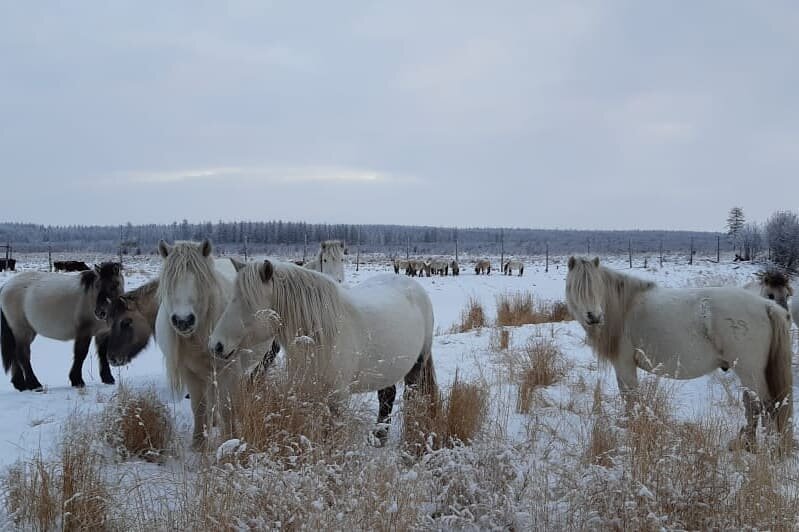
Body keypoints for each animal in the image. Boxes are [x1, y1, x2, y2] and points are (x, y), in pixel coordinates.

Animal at [0, 263, 124, 391]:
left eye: (115, 285)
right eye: (97, 285)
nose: (100, 312)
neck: (91, 297)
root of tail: (6, 286)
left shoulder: (103, 333)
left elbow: (103, 354)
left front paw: (108, 378)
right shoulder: (84, 332)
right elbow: (80, 354)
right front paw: (77, 380)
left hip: (26, 331)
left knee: (15, 354)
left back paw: (20, 384)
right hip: (22, 330)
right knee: (22, 355)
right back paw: (34, 384)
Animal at [155, 240, 263, 449]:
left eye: (200, 280)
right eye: (170, 280)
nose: (183, 321)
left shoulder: (229, 370)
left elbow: (227, 407)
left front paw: (230, 439)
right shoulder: (190, 373)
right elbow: (199, 407)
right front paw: (198, 443)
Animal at [208, 259, 438, 446]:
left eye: (247, 302)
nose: (215, 345)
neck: (323, 335)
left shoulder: (337, 398)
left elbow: (331, 433)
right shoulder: (308, 392)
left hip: (416, 366)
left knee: (409, 397)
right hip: (385, 368)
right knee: (387, 397)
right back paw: (378, 438)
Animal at [566, 256, 793, 452]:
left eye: (597, 286)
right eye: (576, 287)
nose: (594, 317)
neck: (625, 308)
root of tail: (767, 305)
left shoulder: (625, 365)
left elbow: (631, 399)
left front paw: (632, 428)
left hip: (749, 371)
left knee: (766, 406)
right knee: (754, 405)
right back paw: (747, 444)